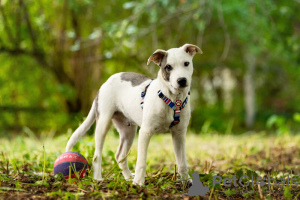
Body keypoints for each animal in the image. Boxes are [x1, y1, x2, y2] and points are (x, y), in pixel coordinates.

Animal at [65, 44, 202, 185]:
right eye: (168, 67)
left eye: (186, 63)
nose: (182, 80)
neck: (173, 98)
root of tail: (105, 83)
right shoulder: (145, 132)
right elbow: (141, 162)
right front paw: (139, 183)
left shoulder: (179, 134)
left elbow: (182, 162)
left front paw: (187, 180)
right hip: (103, 123)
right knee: (97, 156)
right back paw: (98, 178)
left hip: (128, 131)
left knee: (120, 156)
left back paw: (128, 177)